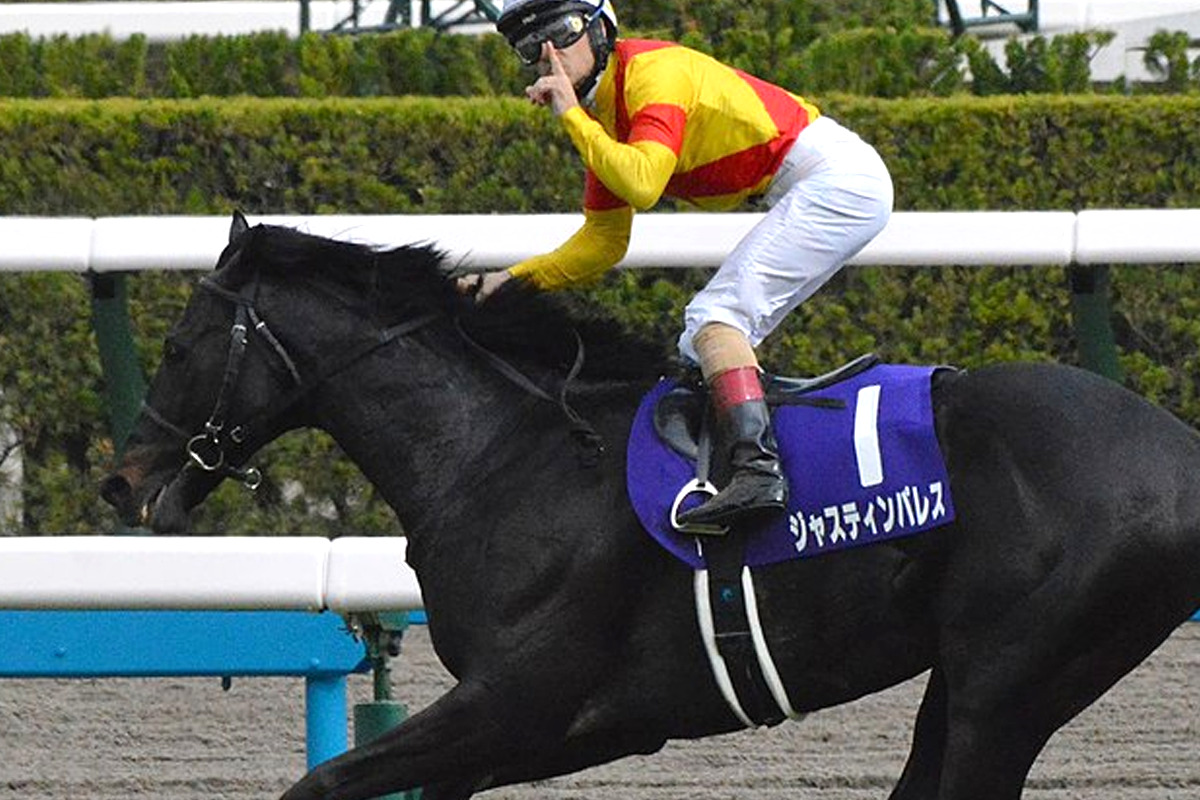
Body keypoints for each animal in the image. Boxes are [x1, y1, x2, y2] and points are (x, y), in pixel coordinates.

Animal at [102, 212, 1200, 800]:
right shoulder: (559, 728)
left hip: (1011, 673)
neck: (502, 453)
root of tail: (1177, 444)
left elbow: (320, 779)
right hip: (989, 673)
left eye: (181, 344)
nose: (123, 479)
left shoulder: (518, 702)